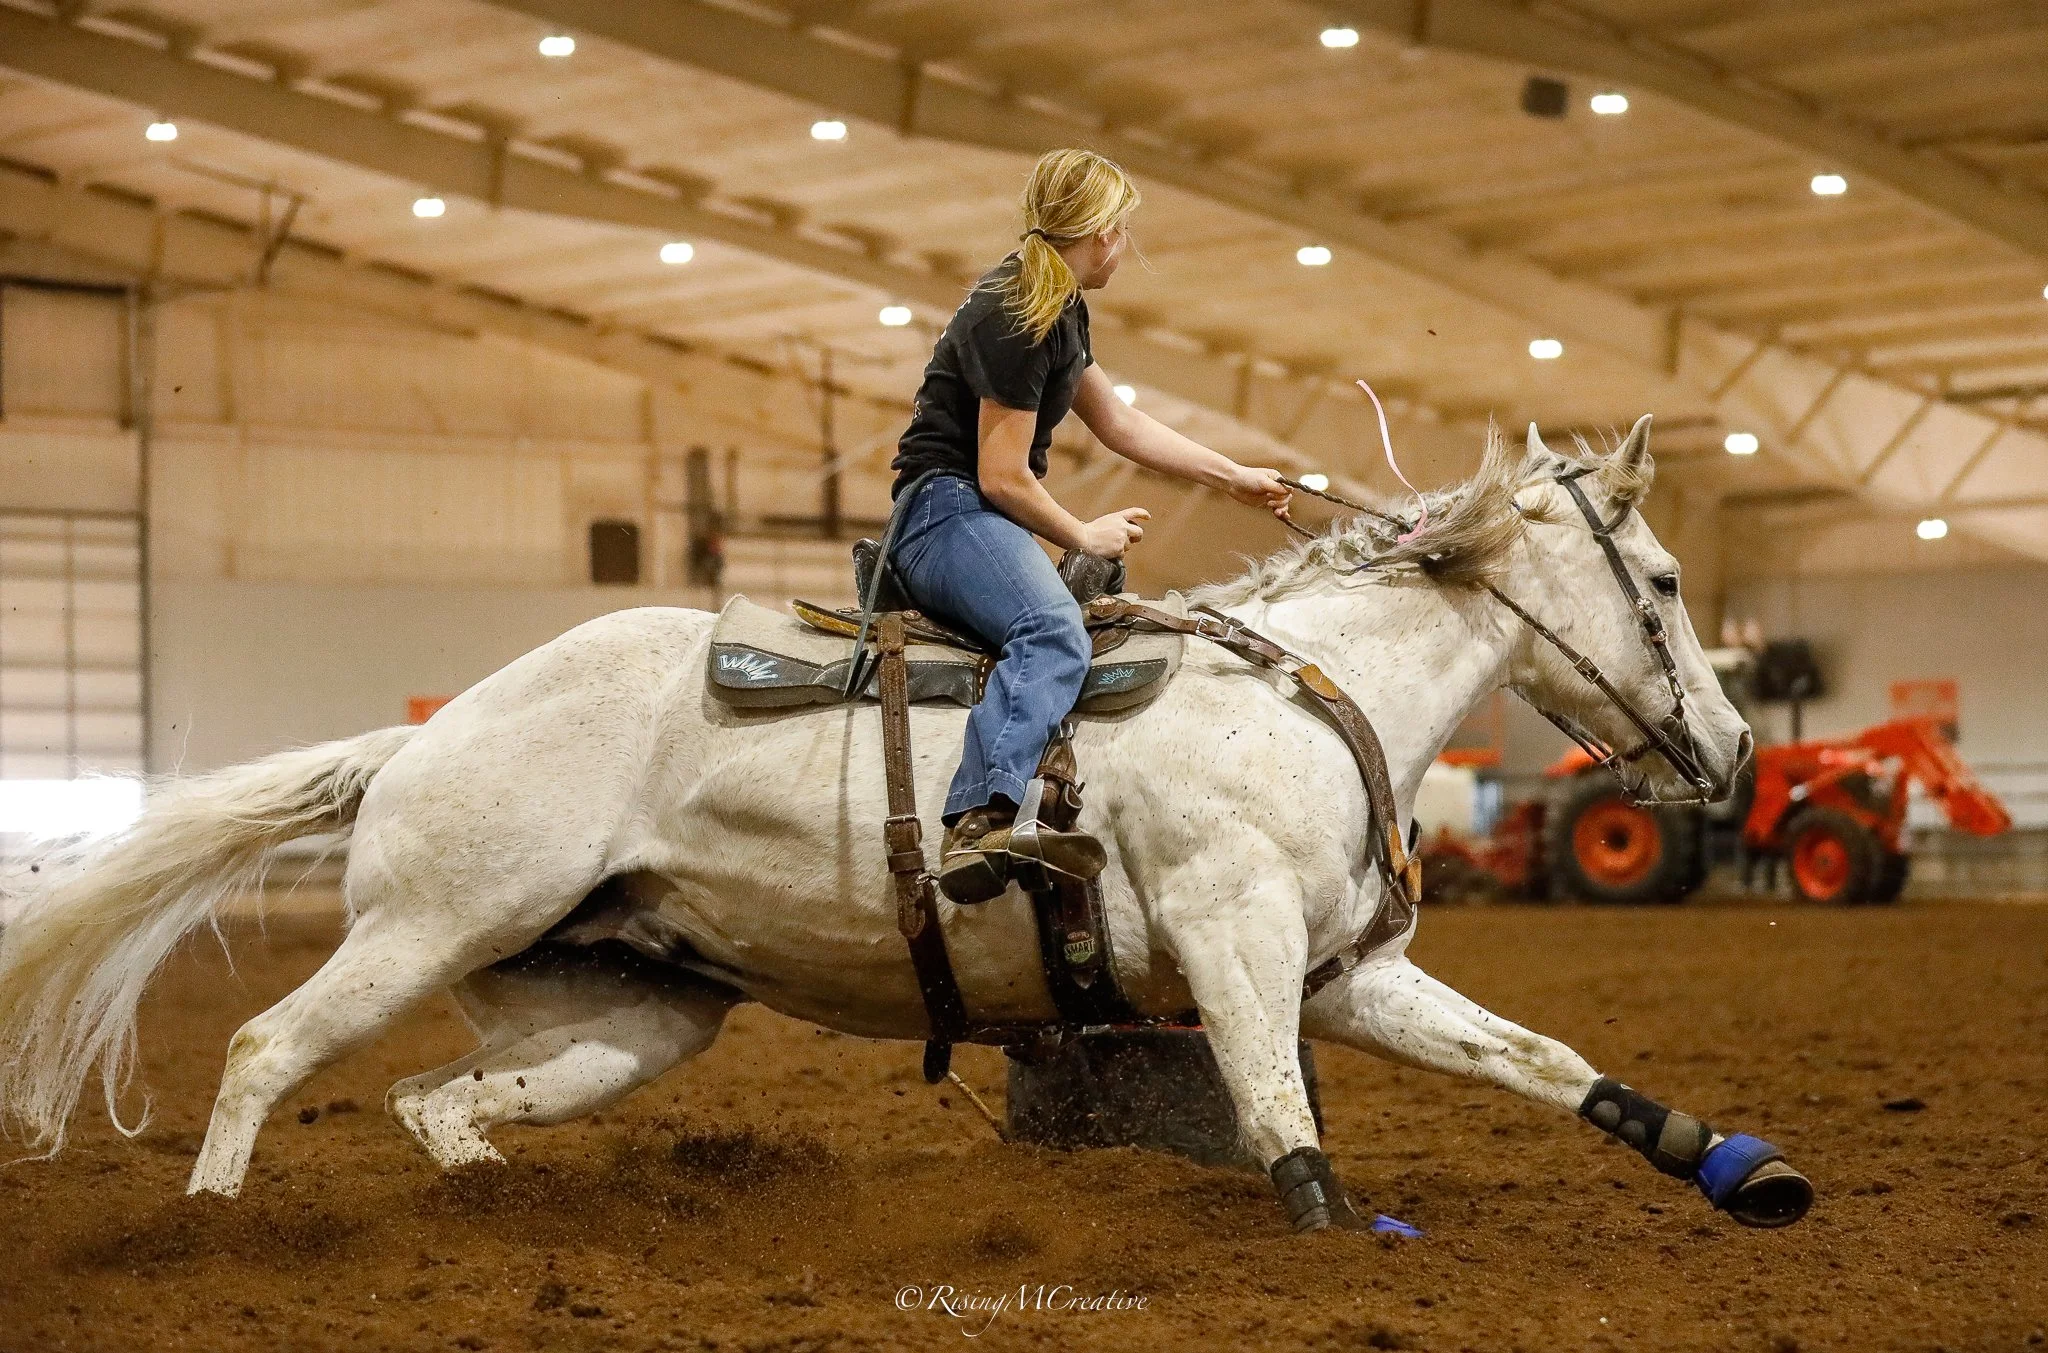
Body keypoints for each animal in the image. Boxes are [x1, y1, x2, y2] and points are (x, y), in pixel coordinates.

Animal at [0, 417, 1812, 1233]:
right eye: (1662, 582)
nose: (1730, 752)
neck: (1313, 694)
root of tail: (425, 736)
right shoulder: (1235, 945)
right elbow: (1283, 1130)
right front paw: (1323, 1220)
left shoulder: (1338, 970)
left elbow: (1540, 1055)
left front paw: (1737, 1163)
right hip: (424, 925)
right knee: (263, 1048)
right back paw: (211, 1235)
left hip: (622, 1010)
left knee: (440, 1102)